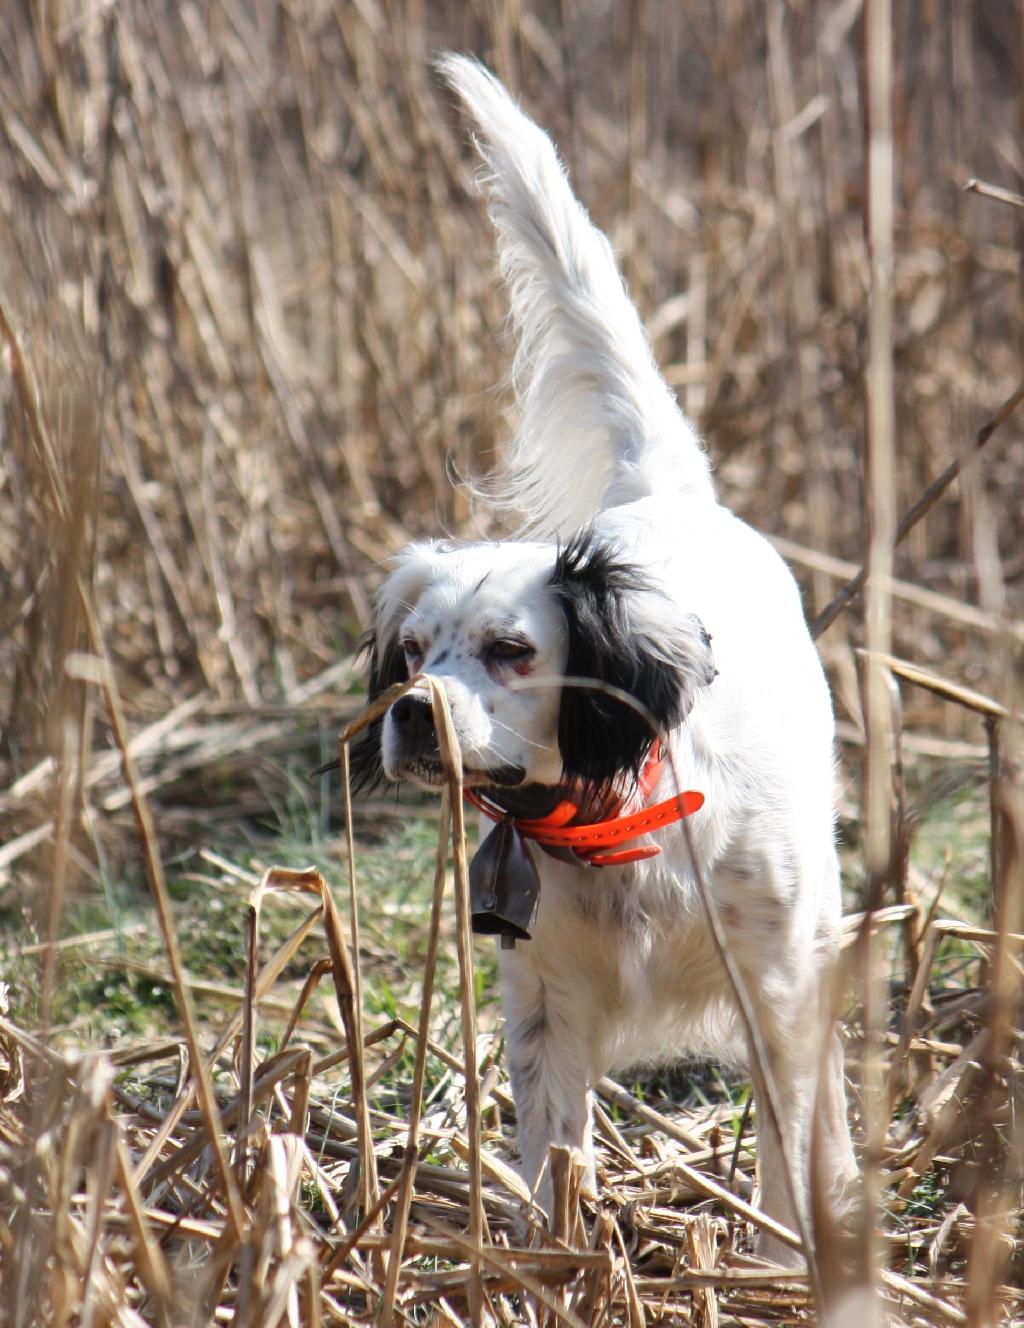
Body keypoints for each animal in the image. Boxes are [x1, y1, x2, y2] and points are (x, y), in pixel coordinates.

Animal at [353, 54, 855, 1264]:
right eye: (412, 651)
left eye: (511, 650)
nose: (411, 714)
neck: (608, 813)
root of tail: (664, 494)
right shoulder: (542, 1001)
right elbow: (552, 1160)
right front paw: (548, 1267)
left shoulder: (773, 984)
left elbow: (786, 1148)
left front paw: (783, 1267)